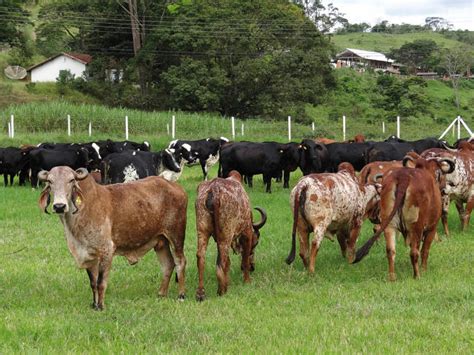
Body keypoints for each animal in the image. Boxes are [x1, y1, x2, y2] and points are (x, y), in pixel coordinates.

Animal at [38, 165, 188, 310]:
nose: (59, 206)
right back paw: (161, 294)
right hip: (161, 241)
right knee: (168, 264)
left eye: (71, 180)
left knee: (180, 262)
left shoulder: (107, 250)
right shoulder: (89, 254)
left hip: (176, 236)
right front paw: (94, 305)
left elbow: (101, 282)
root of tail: (174, 186)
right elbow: (93, 282)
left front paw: (101, 306)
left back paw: (181, 295)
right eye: (50, 182)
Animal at [193, 171, 266, 302]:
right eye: (256, 242)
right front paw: (247, 281)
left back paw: (201, 293)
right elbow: (244, 258)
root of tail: (214, 189)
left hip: (202, 230)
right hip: (225, 234)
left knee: (201, 256)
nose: (253, 267)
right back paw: (222, 289)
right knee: (222, 258)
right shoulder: (246, 231)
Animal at [352, 154, 456, 282]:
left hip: (389, 225)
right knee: (414, 252)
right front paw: (424, 269)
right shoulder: (431, 228)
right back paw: (417, 275)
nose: (445, 189)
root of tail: (404, 177)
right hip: (416, 226)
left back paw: (392, 277)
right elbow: (425, 250)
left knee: (390, 250)